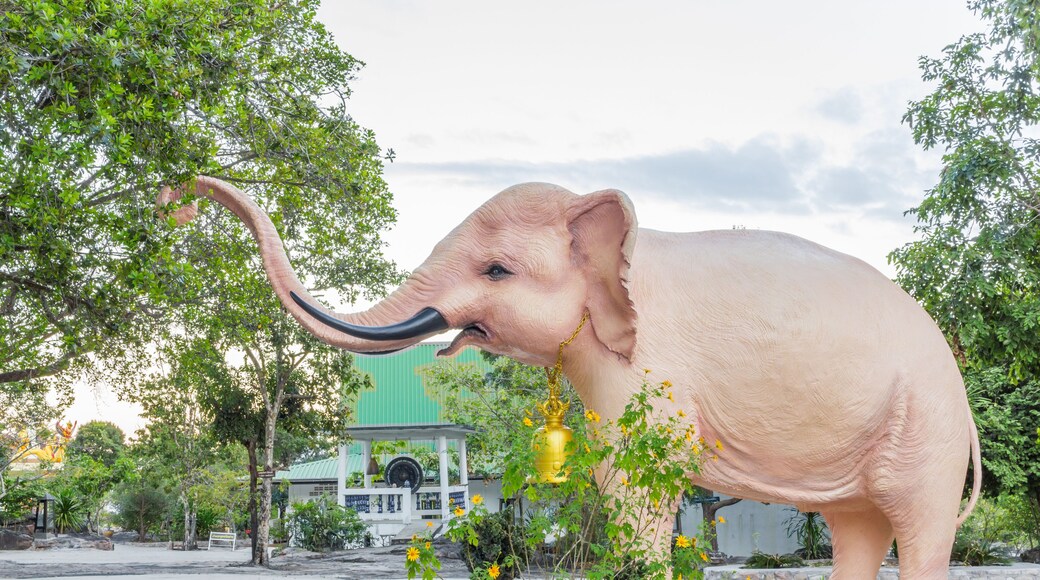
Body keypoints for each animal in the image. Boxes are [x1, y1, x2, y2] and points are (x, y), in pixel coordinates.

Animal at [160, 176, 980, 579]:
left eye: (497, 270)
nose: (178, 197)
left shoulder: (650, 368)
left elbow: (640, 483)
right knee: (857, 529)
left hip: (926, 429)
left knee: (916, 528)